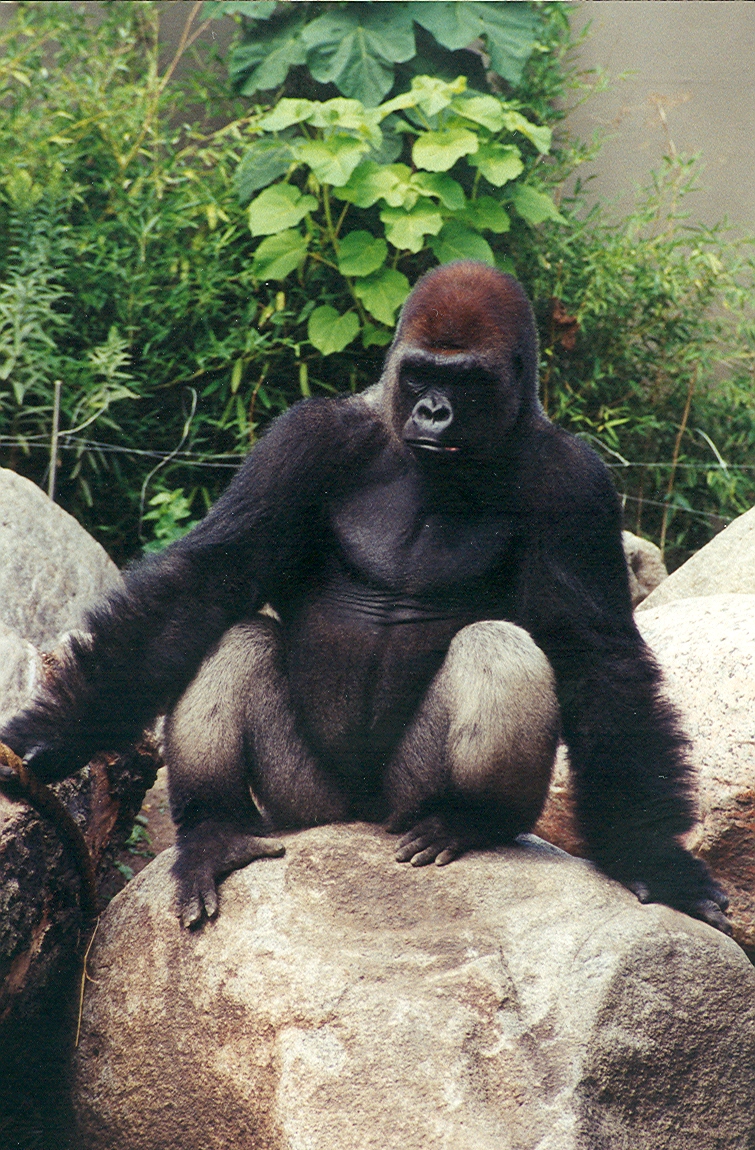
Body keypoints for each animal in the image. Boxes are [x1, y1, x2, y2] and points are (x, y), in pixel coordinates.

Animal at [0, 261, 729, 933]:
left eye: (465, 379)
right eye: (422, 373)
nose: (433, 411)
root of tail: (357, 815)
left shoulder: (577, 483)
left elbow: (595, 656)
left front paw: (655, 858)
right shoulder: (305, 436)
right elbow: (210, 577)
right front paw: (53, 734)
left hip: (400, 803)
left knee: (498, 646)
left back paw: (471, 821)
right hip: (302, 804)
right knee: (235, 634)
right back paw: (214, 828)